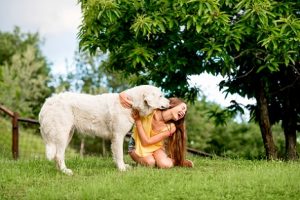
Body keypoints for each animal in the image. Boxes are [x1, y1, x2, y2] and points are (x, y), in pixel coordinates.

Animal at [38, 85, 169, 175]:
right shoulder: (118, 136)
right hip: (62, 134)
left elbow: (116, 155)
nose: (169, 102)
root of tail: (48, 102)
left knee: (57, 156)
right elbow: (119, 154)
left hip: (68, 135)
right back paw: (65, 171)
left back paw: (60, 170)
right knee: (58, 155)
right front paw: (122, 169)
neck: (131, 103)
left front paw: (122, 166)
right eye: (161, 96)